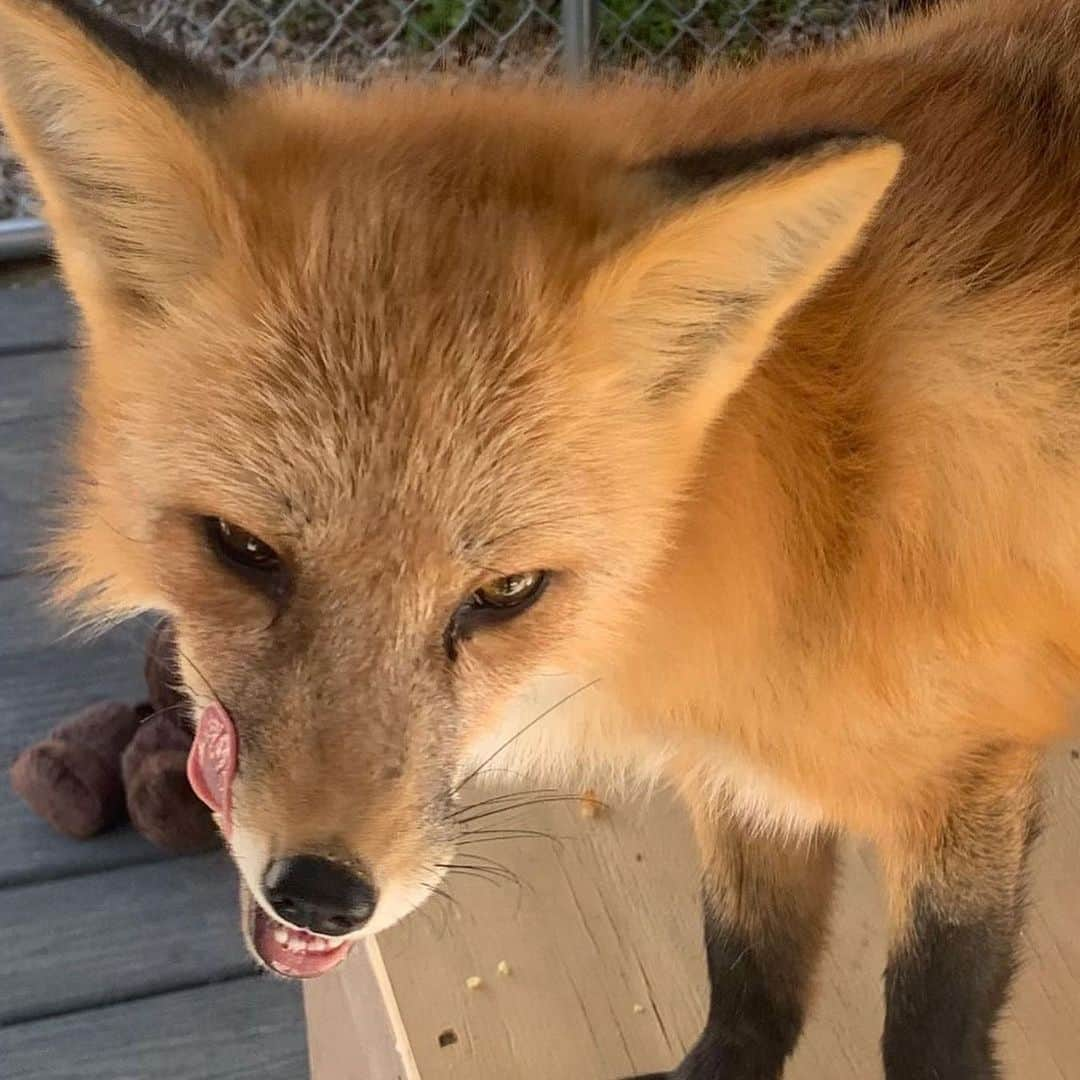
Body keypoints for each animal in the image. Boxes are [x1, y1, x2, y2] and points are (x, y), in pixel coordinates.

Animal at [2, 0, 1080, 1075]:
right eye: (242, 547)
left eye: (506, 594)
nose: (318, 894)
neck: (827, 488)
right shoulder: (738, 777)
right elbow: (750, 966)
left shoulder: (972, 771)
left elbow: (930, 1016)